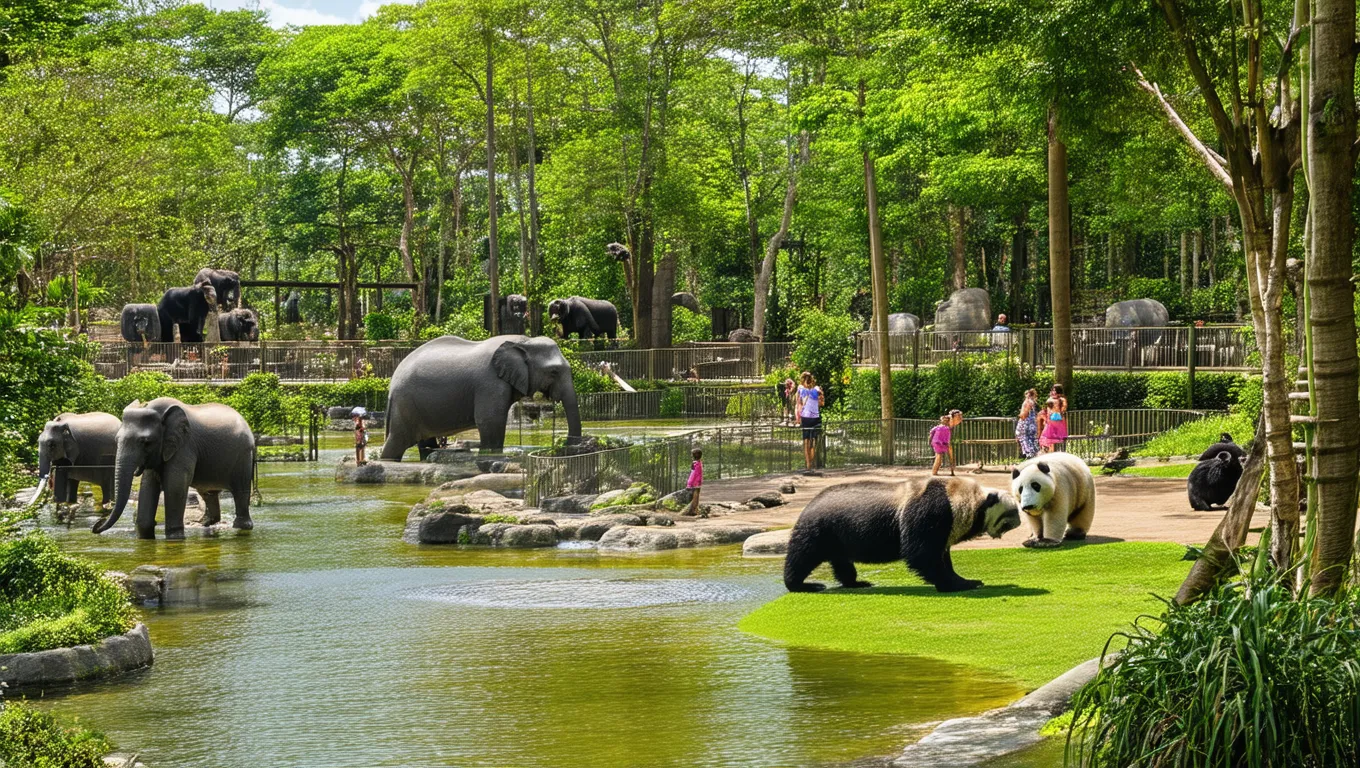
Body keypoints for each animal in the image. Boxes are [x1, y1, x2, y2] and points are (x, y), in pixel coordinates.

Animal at [93, 398, 255, 539]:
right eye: (116, 440)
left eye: (146, 442)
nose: (96, 525)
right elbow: (148, 485)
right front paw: (145, 536)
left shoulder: (184, 446)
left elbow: (175, 485)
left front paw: (175, 537)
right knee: (208, 493)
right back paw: (206, 524)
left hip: (243, 457)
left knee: (240, 491)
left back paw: (241, 527)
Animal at [381, 335, 582, 460]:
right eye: (554, 371)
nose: (567, 446)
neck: (525, 341)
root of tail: (392, 384)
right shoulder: (490, 382)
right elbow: (490, 420)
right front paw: (490, 455)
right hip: (405, 405)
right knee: (397, 442)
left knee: (425, 444)